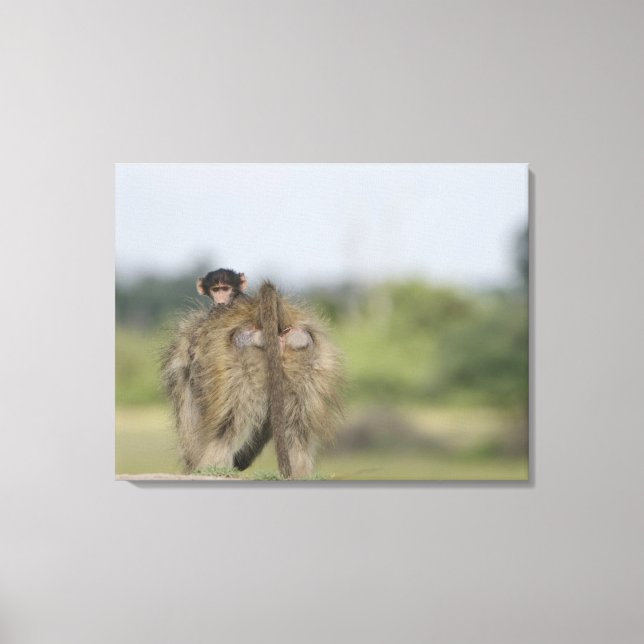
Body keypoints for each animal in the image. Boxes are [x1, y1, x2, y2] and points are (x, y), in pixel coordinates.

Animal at [161, 273, 343, 479]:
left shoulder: (185, 369)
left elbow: (189, 420)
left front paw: (193, 466)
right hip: (303, 352)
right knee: (298, 428)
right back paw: (299, 472)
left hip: (240, 359)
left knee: (228, 424)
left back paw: (212, 468)